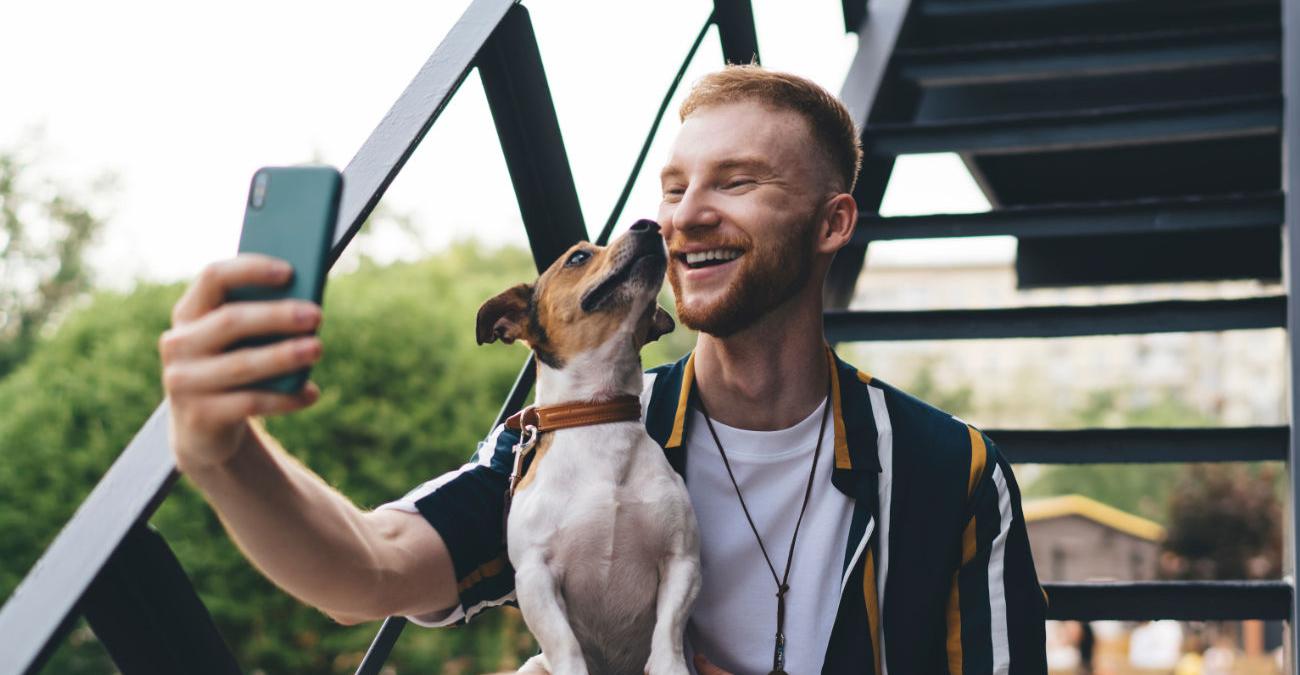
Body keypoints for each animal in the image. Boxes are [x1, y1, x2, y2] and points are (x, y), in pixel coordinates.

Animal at [475, 219, 702, 671]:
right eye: (578, 257)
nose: (649, 224)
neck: (597, 414)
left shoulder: (682, 560)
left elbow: (668, 635)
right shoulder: (535, 577)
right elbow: (565, 645)